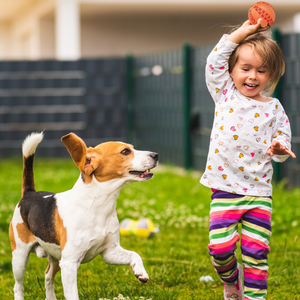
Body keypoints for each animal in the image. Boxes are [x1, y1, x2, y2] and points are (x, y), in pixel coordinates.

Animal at [8, 133, 158, 300]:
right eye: (125, 151)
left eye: (132, 147)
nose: (156, 155)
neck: (97, 206)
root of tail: (29, 194)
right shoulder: (69, 264)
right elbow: (73, 294)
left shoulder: (110, 252)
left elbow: (135, 254)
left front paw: (140, 272)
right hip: (20, 257)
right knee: (18, 285)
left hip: (56, 257)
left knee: (48, 276)